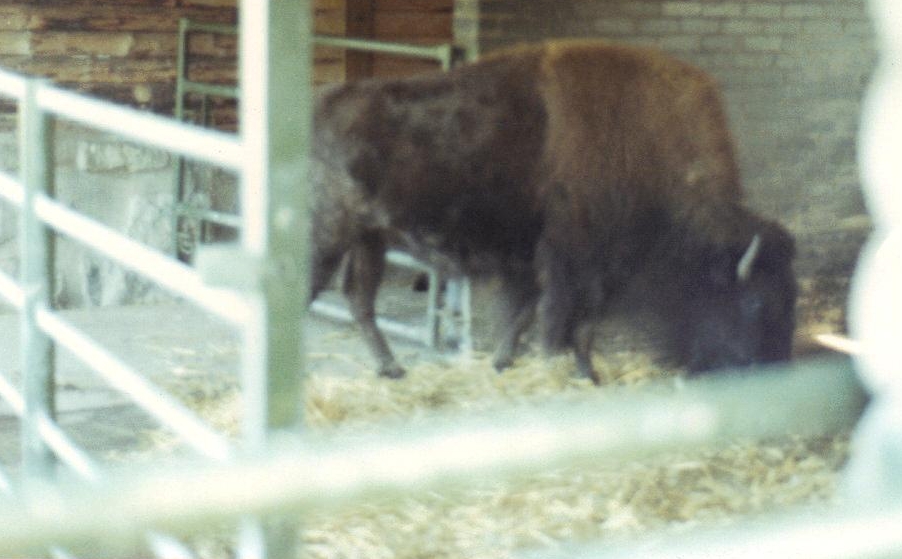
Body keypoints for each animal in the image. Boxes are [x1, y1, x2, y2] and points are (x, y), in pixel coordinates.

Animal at [308, 40, 796, 383]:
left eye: (792, 297)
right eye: (755, 300)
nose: (775, 368)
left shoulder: (539, 260)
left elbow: (528, 312)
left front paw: (505, 362)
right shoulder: (580, 264)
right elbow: (567, 321)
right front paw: (578, 372)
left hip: (368, 239)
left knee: (358, 299)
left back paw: (391, 368)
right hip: (328, 238)